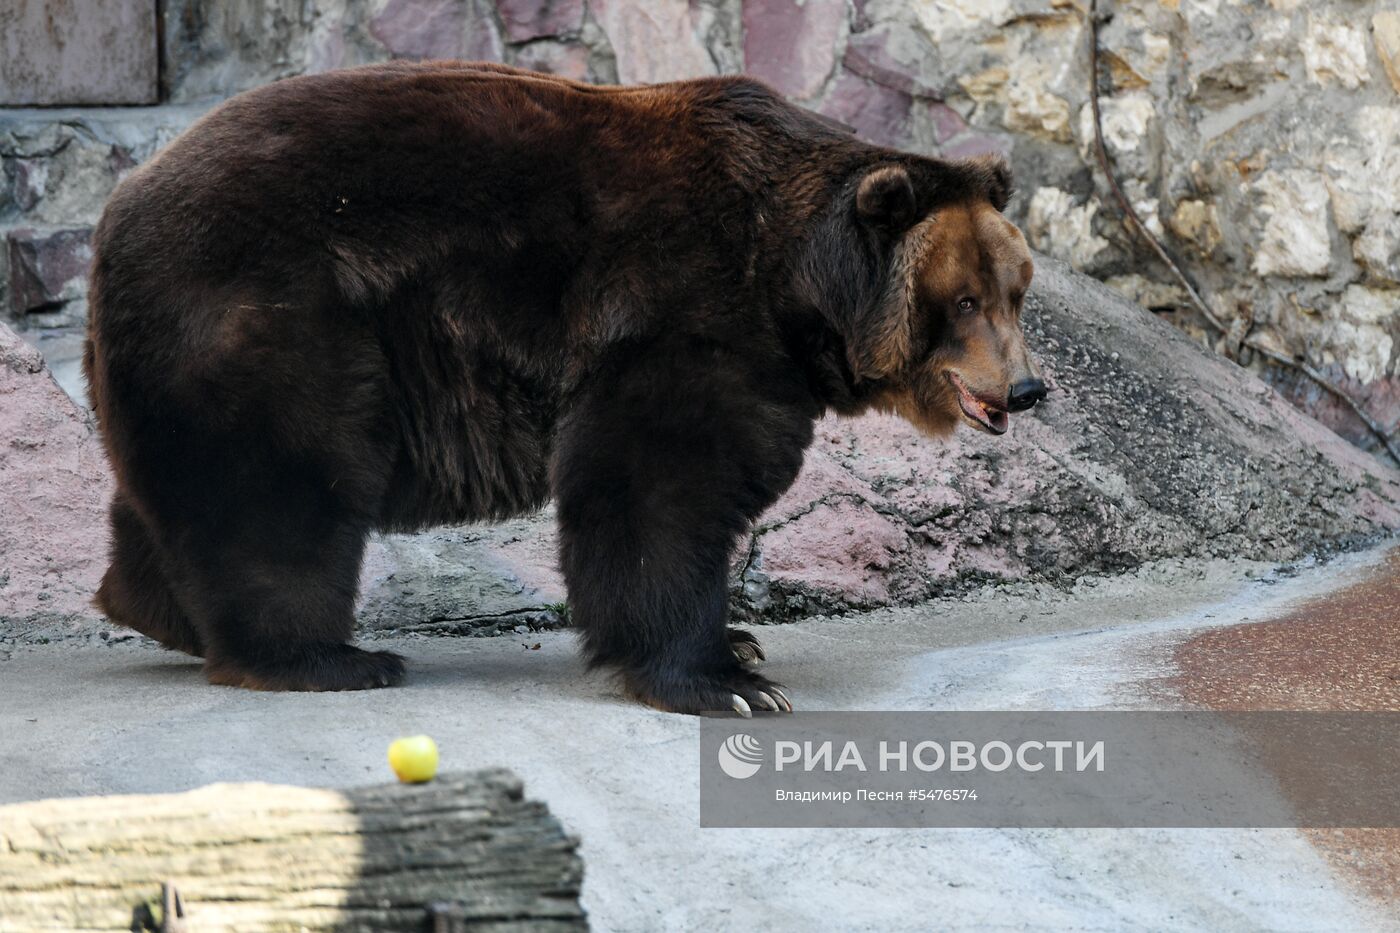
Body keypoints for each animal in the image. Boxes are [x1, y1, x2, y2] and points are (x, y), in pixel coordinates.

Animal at [84, 59, 1041, 711]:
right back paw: (327, 658)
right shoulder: (685, 308)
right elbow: (658, 481)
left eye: (1016, 291)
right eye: (962, 299)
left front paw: (741, 640)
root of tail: (117, 206)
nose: (1027, 387)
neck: (793, 285)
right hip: (273, 311)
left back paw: (161, 612)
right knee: (285, 485)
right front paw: (721, 678)